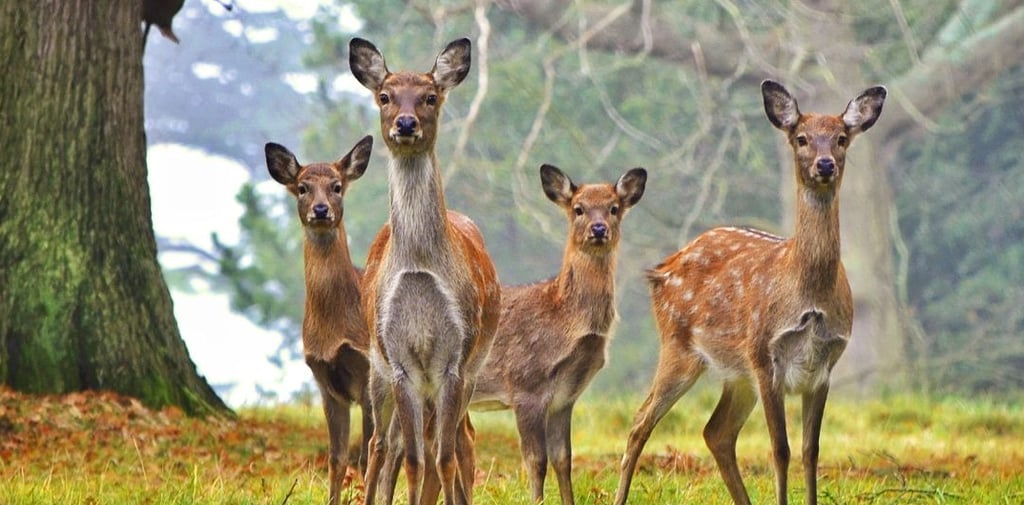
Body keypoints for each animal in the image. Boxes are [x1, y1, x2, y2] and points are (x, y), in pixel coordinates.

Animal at [265, 135, 375, 505]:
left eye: (337, 186)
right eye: (302, 187)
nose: (322, 210)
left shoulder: (370, 373)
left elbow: (368, 455)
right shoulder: (326, 382)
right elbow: (336, 457)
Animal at [349, 37, 501, 505]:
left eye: (430, 97)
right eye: (384, 96)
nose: (405, 123)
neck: (419, 266)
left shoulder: (456, 356)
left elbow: (444, 455)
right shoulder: (398, 358)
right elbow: (415, 458)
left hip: (471, 369)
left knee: (458, 440)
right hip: (376, 366)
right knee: (382, 443)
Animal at [614, 80, 886, 505]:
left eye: (842, 138)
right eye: (801, 138)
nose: (825, 164)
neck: (808, 296)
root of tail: (661, 270)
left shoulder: (824, 365)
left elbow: (811, 451)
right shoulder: (765, 355)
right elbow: (781, 449)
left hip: (736, 372)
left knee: (716, 432)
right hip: (679, 345)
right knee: (641, 420)